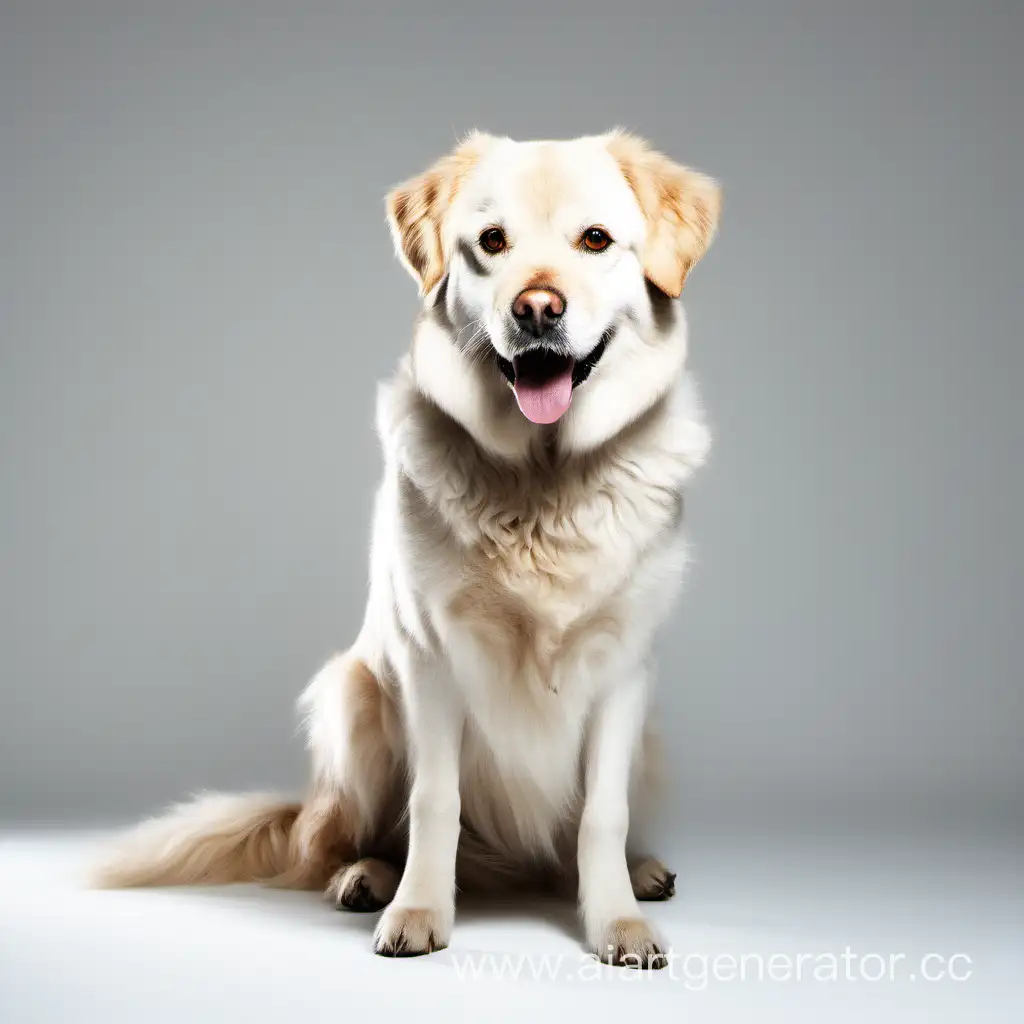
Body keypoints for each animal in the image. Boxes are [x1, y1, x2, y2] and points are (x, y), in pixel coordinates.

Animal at [94, 132, 720, 970]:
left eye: (595, 240)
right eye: (492, 242)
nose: (537, 311)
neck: (543, 480)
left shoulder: (625, 667)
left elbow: (602, 813)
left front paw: (616, 920)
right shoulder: (429, 655)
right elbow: (434, 800)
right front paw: (420, 909)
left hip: (645, 740)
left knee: (564, 845)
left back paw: (636, 872)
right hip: (352, 697)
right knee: (334, 841)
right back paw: (365, 875)